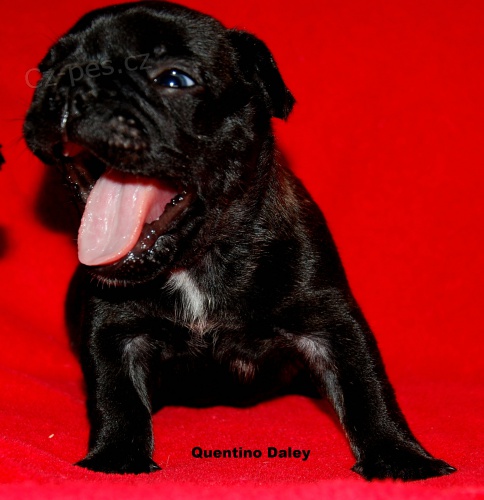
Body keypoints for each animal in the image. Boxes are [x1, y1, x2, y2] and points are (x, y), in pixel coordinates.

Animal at [23, 1, 455, 480]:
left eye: (175, 79)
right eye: (45, 69)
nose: (73, 81)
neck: (198, 260)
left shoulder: (331, 317)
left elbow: (366, 385)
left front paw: (400, 457)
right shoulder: (113, 328)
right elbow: (115, 393)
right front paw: (116, 459)